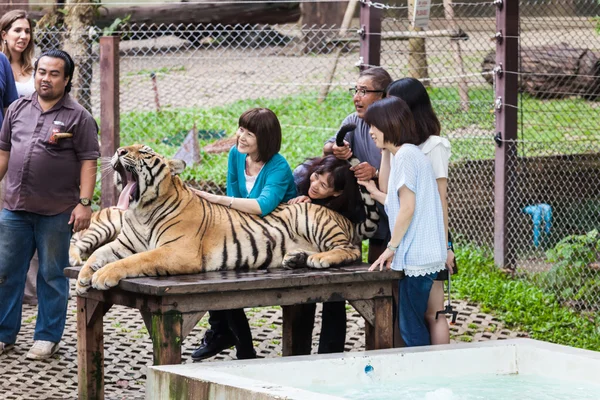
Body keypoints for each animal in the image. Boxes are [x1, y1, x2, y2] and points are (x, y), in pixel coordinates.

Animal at [74, 142, 376, 296]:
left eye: (144, 152)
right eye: (126, 147)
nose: (119, 152)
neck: (141, 211)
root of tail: (343, 218)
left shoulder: (176, 250)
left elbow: (135, 261)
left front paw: (103, 275)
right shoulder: (123, 244)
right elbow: (98, 253)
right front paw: (83, 277)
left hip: (314, 220)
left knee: (349, 250)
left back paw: (320, 259)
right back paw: (295, 258)